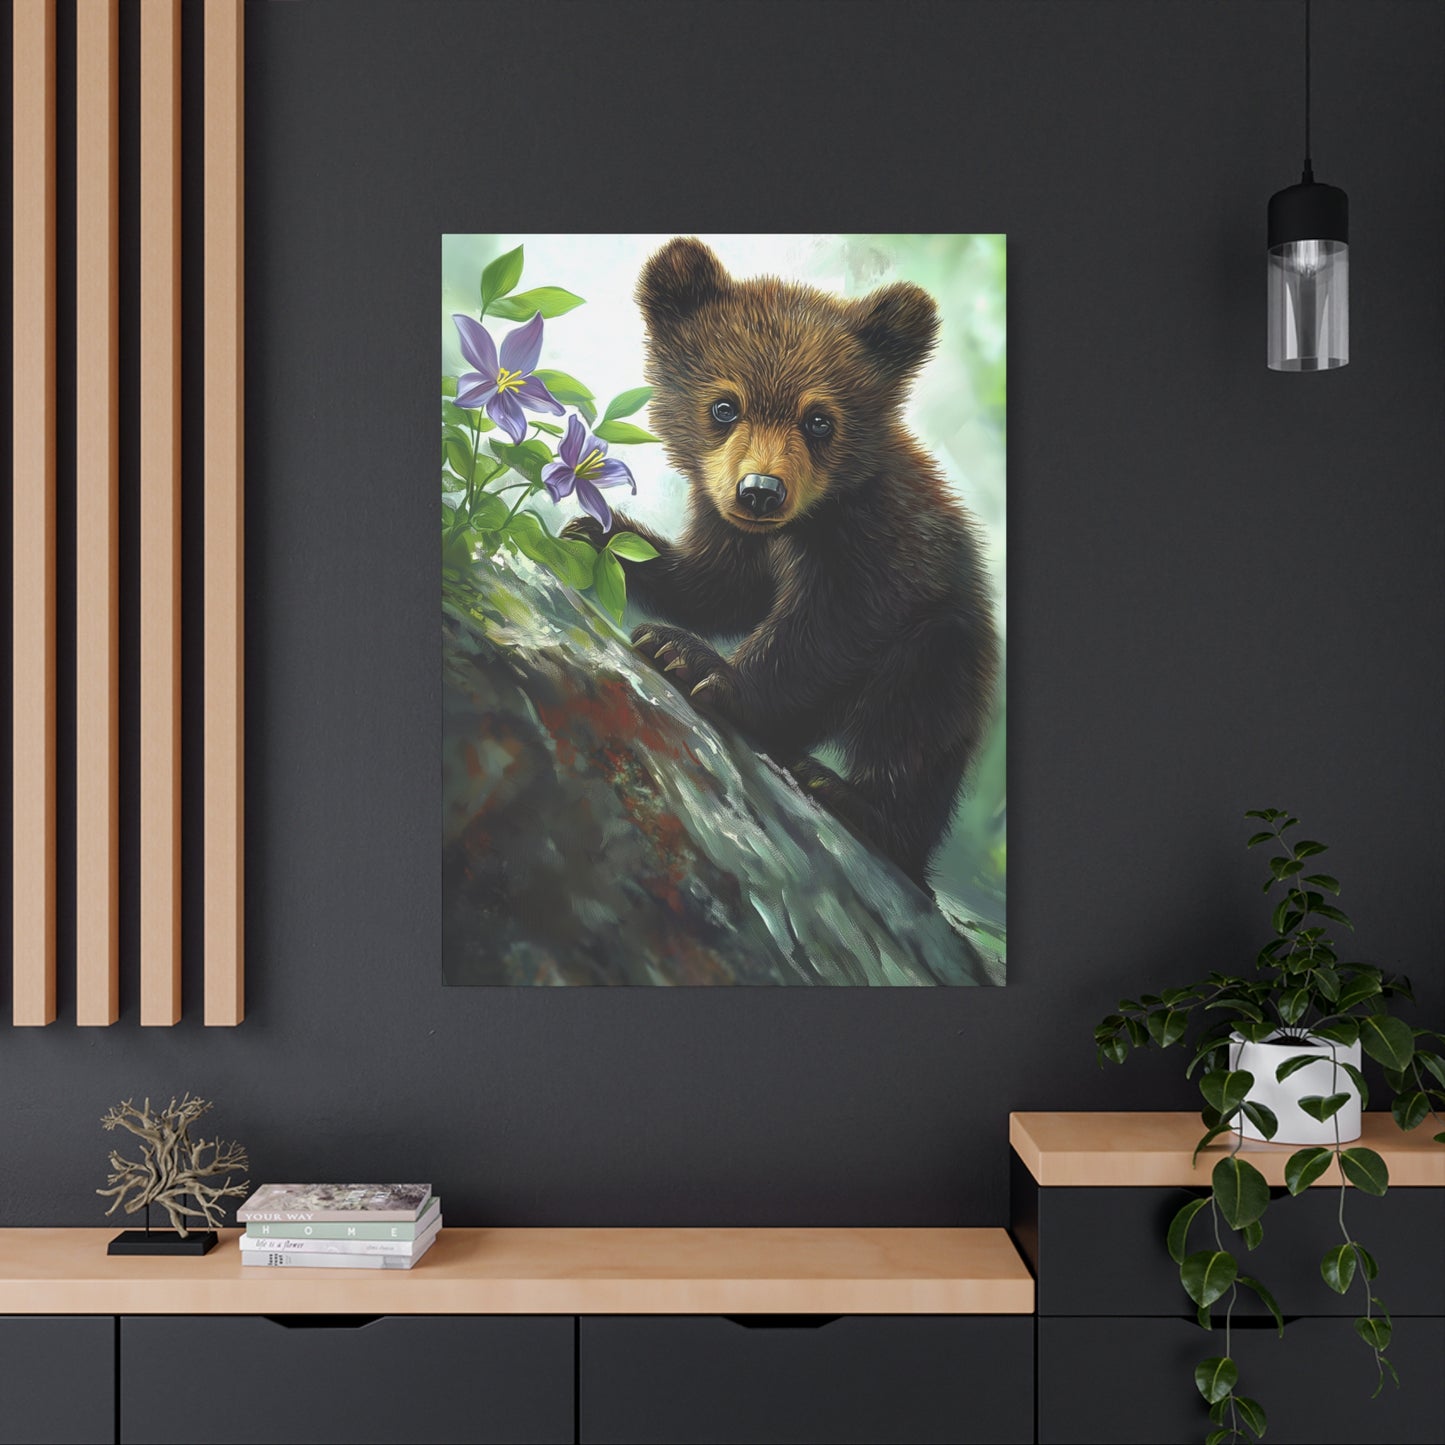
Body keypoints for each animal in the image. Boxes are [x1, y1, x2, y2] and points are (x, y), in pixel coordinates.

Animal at [567, 237, 998, 888]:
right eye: (724, 406)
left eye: (819, 419)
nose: (761, 491)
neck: (799, 526)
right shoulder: (731, 527)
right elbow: (717, 586)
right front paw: (601, 533)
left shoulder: (875, 543)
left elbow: (827, 628)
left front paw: (692, 658)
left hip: (949, 646)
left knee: (918, 717)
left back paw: (851, 796)